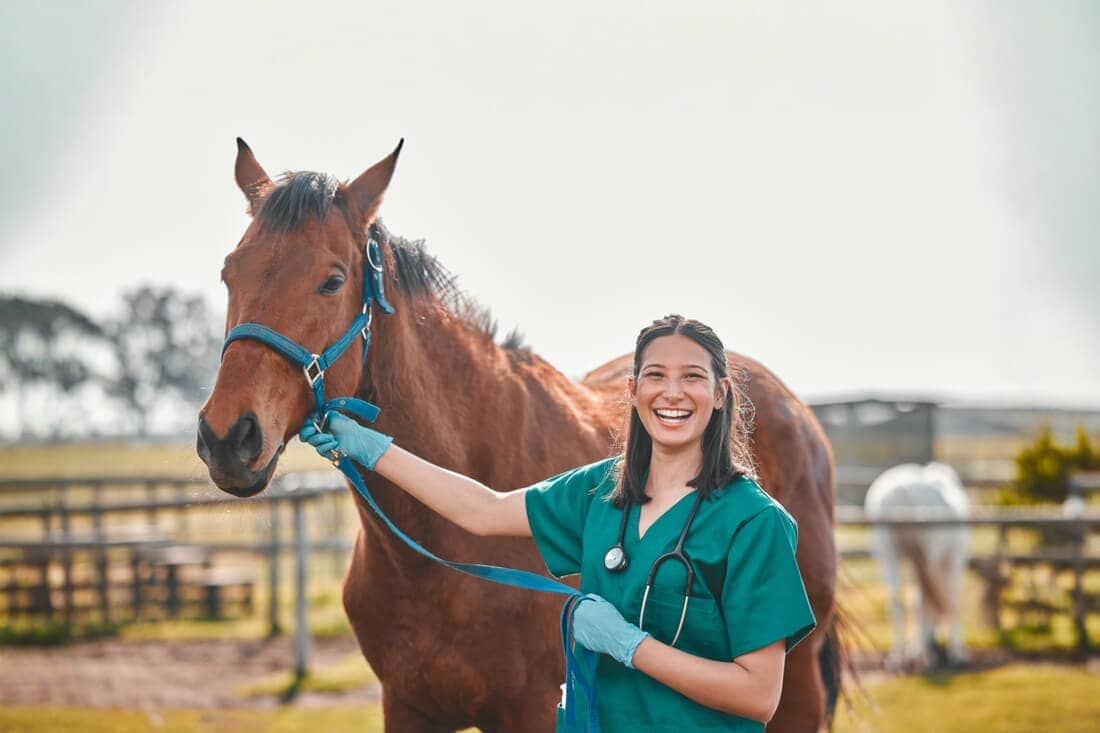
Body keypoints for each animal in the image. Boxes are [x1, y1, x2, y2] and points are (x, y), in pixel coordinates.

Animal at [864, 462, 970, 672]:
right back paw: (927, 658)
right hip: (929, 557)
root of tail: (904, 490)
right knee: (929, 602)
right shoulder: (952, 562)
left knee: (898, 602)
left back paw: (898, 658)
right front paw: (954, 653)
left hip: (890, 553)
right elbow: (950, 603)